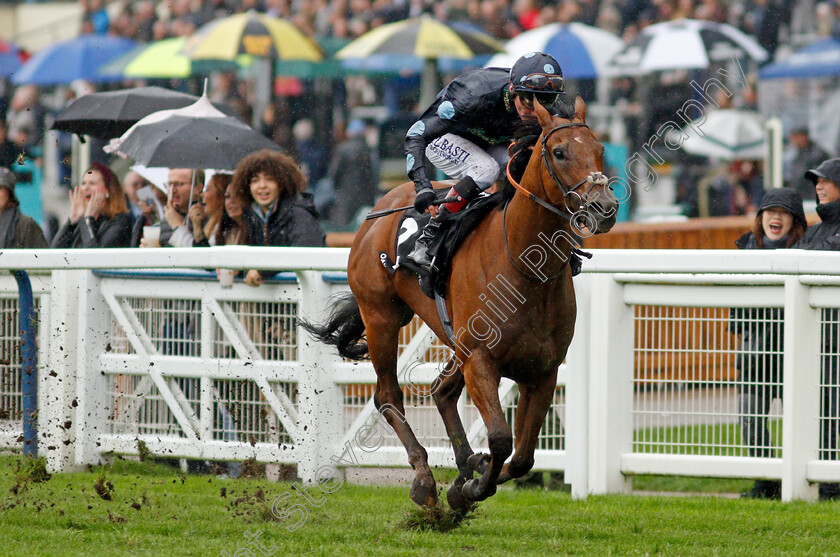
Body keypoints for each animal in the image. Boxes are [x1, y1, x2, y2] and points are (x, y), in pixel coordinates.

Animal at [306, 97, 620, 510]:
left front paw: (470, 478)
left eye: (600, 150)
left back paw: (464, 462)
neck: (524, 268)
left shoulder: (543, 371)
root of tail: (377, 211)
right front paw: (469, 487)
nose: (605, 207)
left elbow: (523, 457)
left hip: (450, 336)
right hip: (382, 318)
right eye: (560, 152)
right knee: (389, 396)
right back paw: (424, 477)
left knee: (441, 390)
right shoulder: (481, 361)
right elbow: (501, 439)